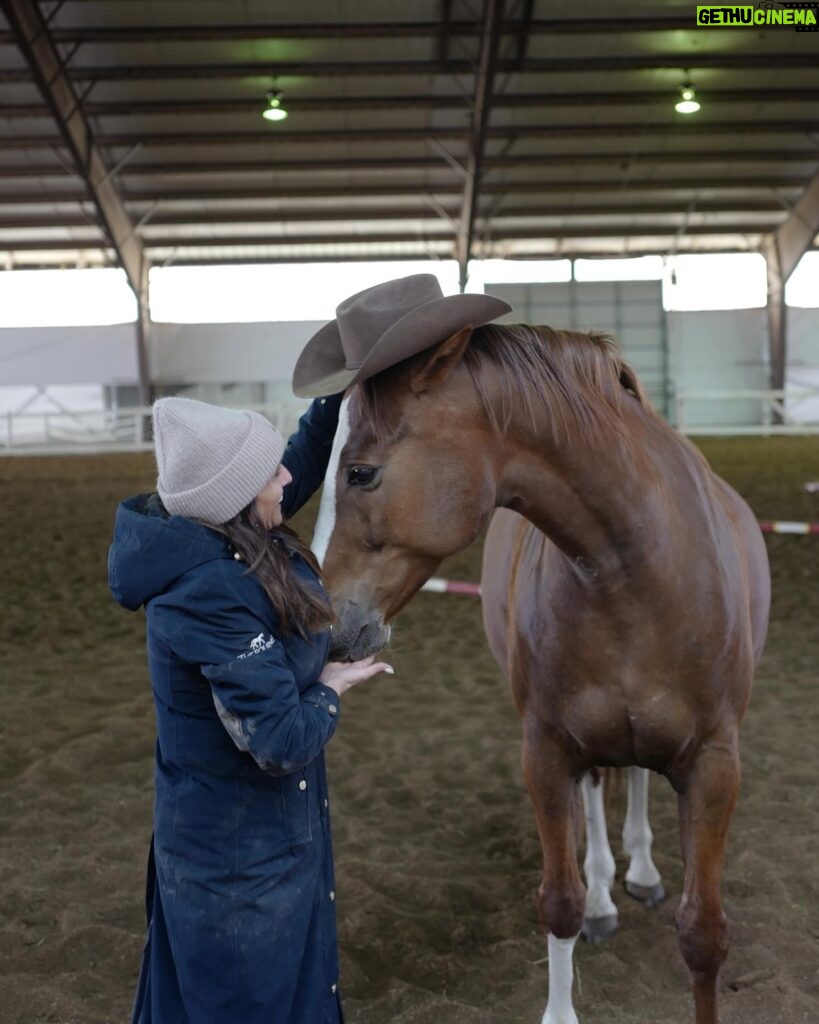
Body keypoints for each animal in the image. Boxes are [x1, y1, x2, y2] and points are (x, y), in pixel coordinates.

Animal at [311, 325, 769, 1024]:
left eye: (360, 472)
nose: (321, 624)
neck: (636, 568)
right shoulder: (548, 752)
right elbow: (561, 902)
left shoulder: (715, 765)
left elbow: (704, 934)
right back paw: (610, 892)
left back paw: (641, 871)